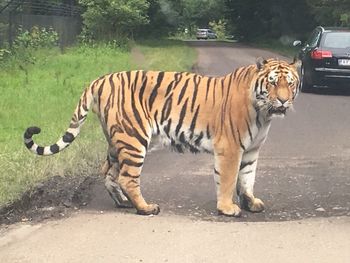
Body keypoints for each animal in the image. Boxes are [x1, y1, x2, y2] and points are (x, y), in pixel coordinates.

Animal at [23, 58, 300, 218]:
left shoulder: (251, 150)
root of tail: (100, 79)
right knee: (127, 177)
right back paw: (145, 208)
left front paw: (251, 202)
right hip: (134, 138)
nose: (283, 101)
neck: (264, 113)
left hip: (116, 141)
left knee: (108, 172)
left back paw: (123, 203)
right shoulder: (230, 148)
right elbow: (229, 179)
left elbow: (247, 178)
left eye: (290, 84)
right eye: (272, 83)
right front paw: (228, 208)